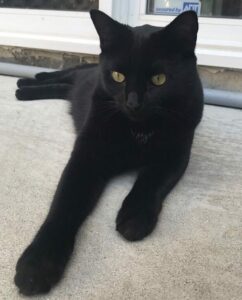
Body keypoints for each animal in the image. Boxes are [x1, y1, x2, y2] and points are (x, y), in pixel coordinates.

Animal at [14, 8, 203, 296]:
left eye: (158, 80)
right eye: (118, 76)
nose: (133, 103)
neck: (138, 130)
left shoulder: (175, 154)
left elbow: (151, 181)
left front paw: (134, 218)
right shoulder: (87, 157)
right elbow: (64, 204)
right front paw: (36, 266)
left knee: (62, 88)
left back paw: (24, 88)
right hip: (80, 74)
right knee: (63, 75)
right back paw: (26, 82)